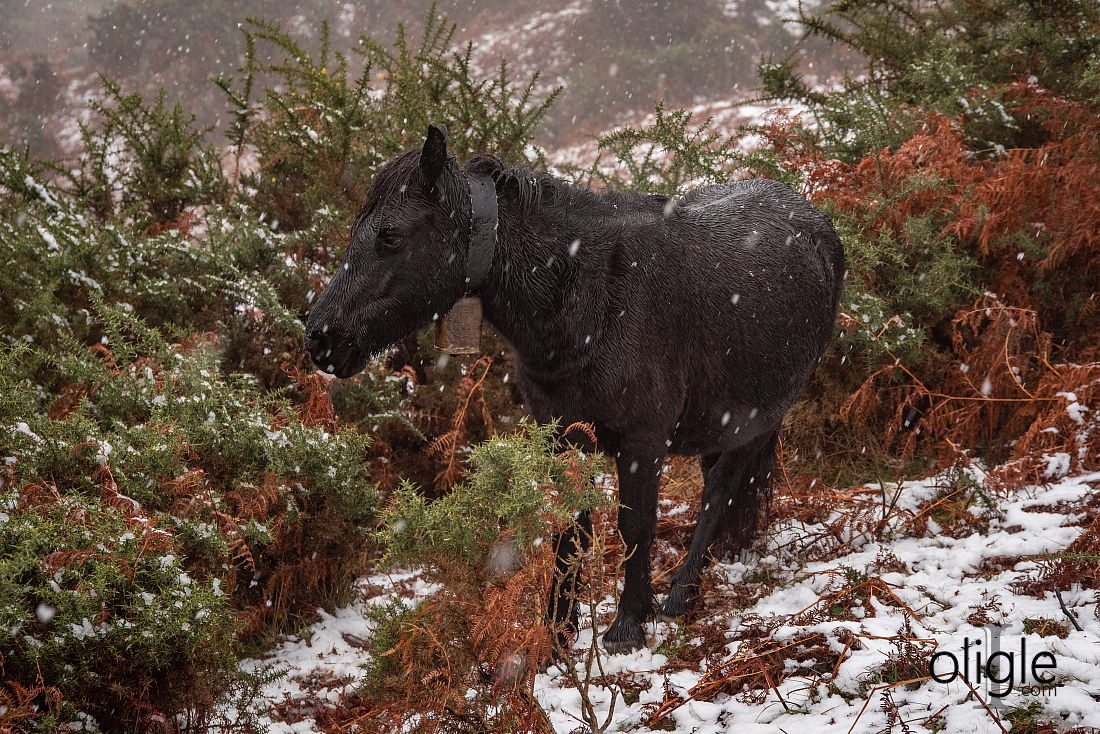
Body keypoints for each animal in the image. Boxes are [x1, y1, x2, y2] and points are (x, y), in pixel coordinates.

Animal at [305, 126, 844, 655]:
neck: (589, 292)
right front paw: (557, 637)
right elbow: (568, 530)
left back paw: (680, 595)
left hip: (759, 421)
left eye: (390, 236)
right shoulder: (562, 436)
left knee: (719, 494)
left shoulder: (643, 441)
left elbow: (636, 526)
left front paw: (628, 626)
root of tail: (819, 225)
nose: (319, 337)